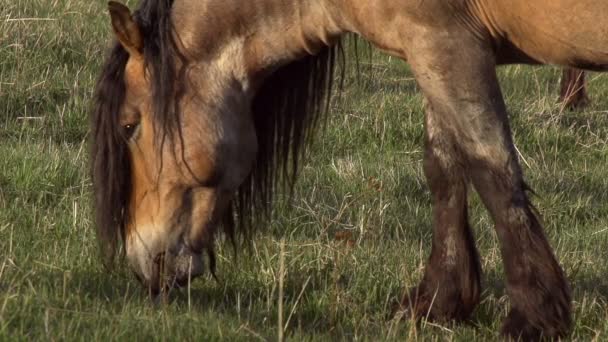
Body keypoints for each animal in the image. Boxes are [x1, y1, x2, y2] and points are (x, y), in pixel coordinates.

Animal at [92, 0, 608, 338]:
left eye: (129, 126)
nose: (143, 262)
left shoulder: (445, 44)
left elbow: (493, 172)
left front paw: (533, 316)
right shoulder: (429, 53)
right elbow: (444, 168)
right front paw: (439, 300)